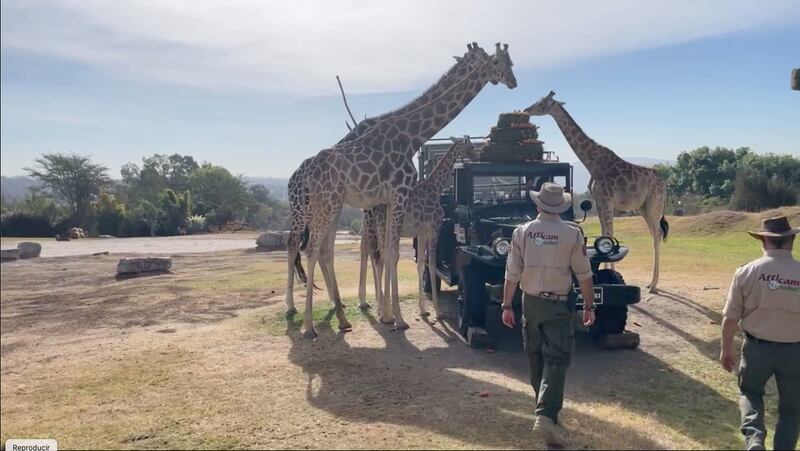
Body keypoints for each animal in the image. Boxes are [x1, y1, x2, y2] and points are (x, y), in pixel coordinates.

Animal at [360, 138, 478, 322]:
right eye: (471, 145)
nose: (477, 156)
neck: (435, 188)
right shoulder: (433, 229)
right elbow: (432, 264)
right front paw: (438, 311)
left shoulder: (421, 233)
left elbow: (421, 263)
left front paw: (424, 310)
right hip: (382, 229)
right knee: (381, 258)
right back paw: (386, 313)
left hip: (378, 231)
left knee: (378, 258)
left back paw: (382, 310)